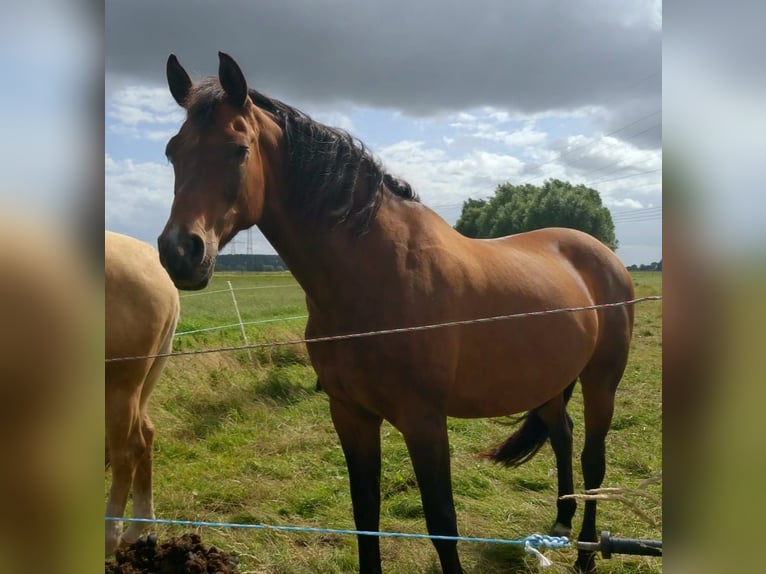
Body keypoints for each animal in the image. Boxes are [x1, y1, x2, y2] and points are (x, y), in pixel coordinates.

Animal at [157, 52, 635, 574]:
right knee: (563, 436)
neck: (375, 276)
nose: (180, 252)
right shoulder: (350, 413)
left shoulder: (423, 420)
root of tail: (602, 254)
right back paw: (562, 522)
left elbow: (442, 521)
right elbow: (365, 511)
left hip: (601, 380)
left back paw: (587, 553)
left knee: (593, 458)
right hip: (547, 379)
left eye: (239, 149)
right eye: (172, 152)